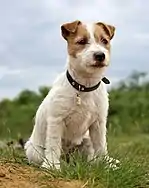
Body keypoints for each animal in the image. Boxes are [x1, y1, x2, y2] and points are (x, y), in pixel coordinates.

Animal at [25, 19, 117, 170]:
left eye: (104, 40)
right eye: (81, 41)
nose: (100, 55)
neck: (85, 86)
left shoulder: (98, 123)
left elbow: (101, 145)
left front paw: (106, 164)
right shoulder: (56, 120)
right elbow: (53, 145)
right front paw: (52, 165)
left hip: (86, 141)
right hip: (34, 151)